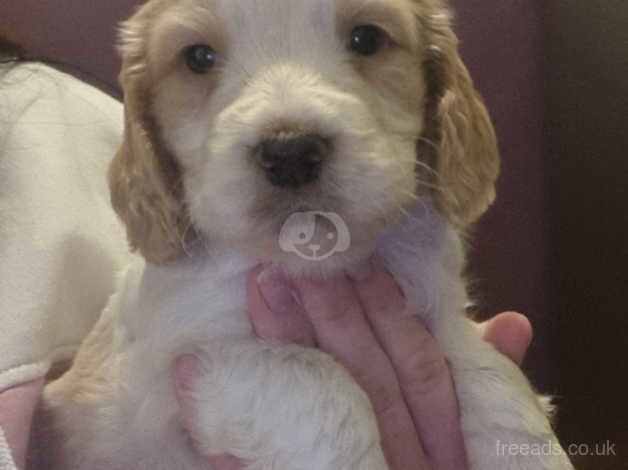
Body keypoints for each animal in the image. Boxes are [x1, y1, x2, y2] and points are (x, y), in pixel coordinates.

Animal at [40, 0, 576, 468]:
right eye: (197, 57)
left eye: (367, 38)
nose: (290, 153)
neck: (320, 260)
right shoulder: (177, 368)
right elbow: (320, 381)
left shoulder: (437, 317)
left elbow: (496, 379)